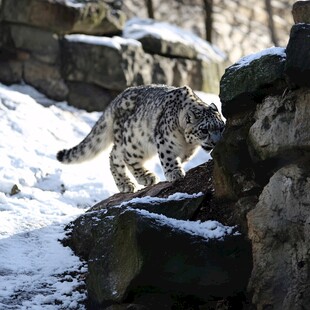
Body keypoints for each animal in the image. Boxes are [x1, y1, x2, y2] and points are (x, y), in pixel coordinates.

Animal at [57, 83, 224, 193]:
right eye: (204, 130)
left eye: (221, 127)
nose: (216, 142)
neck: (187, 143)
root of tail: (116, 99)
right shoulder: (165, 140)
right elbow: (168, 156)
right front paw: (174, 172)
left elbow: (184, 156)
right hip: (133, 140)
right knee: (119, 155)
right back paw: (134, 181)